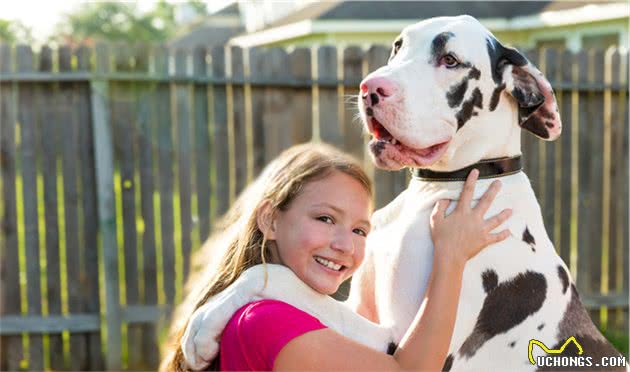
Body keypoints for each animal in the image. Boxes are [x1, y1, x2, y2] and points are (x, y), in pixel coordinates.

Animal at [180, 15, 624, 372]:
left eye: (451, 60)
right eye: (398, 47)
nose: (369, 88)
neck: (440, 186)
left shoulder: (398, 343)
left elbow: (286, 281)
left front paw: (202, 326)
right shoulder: (360, 309)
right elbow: (282, 278)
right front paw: (206, 315)